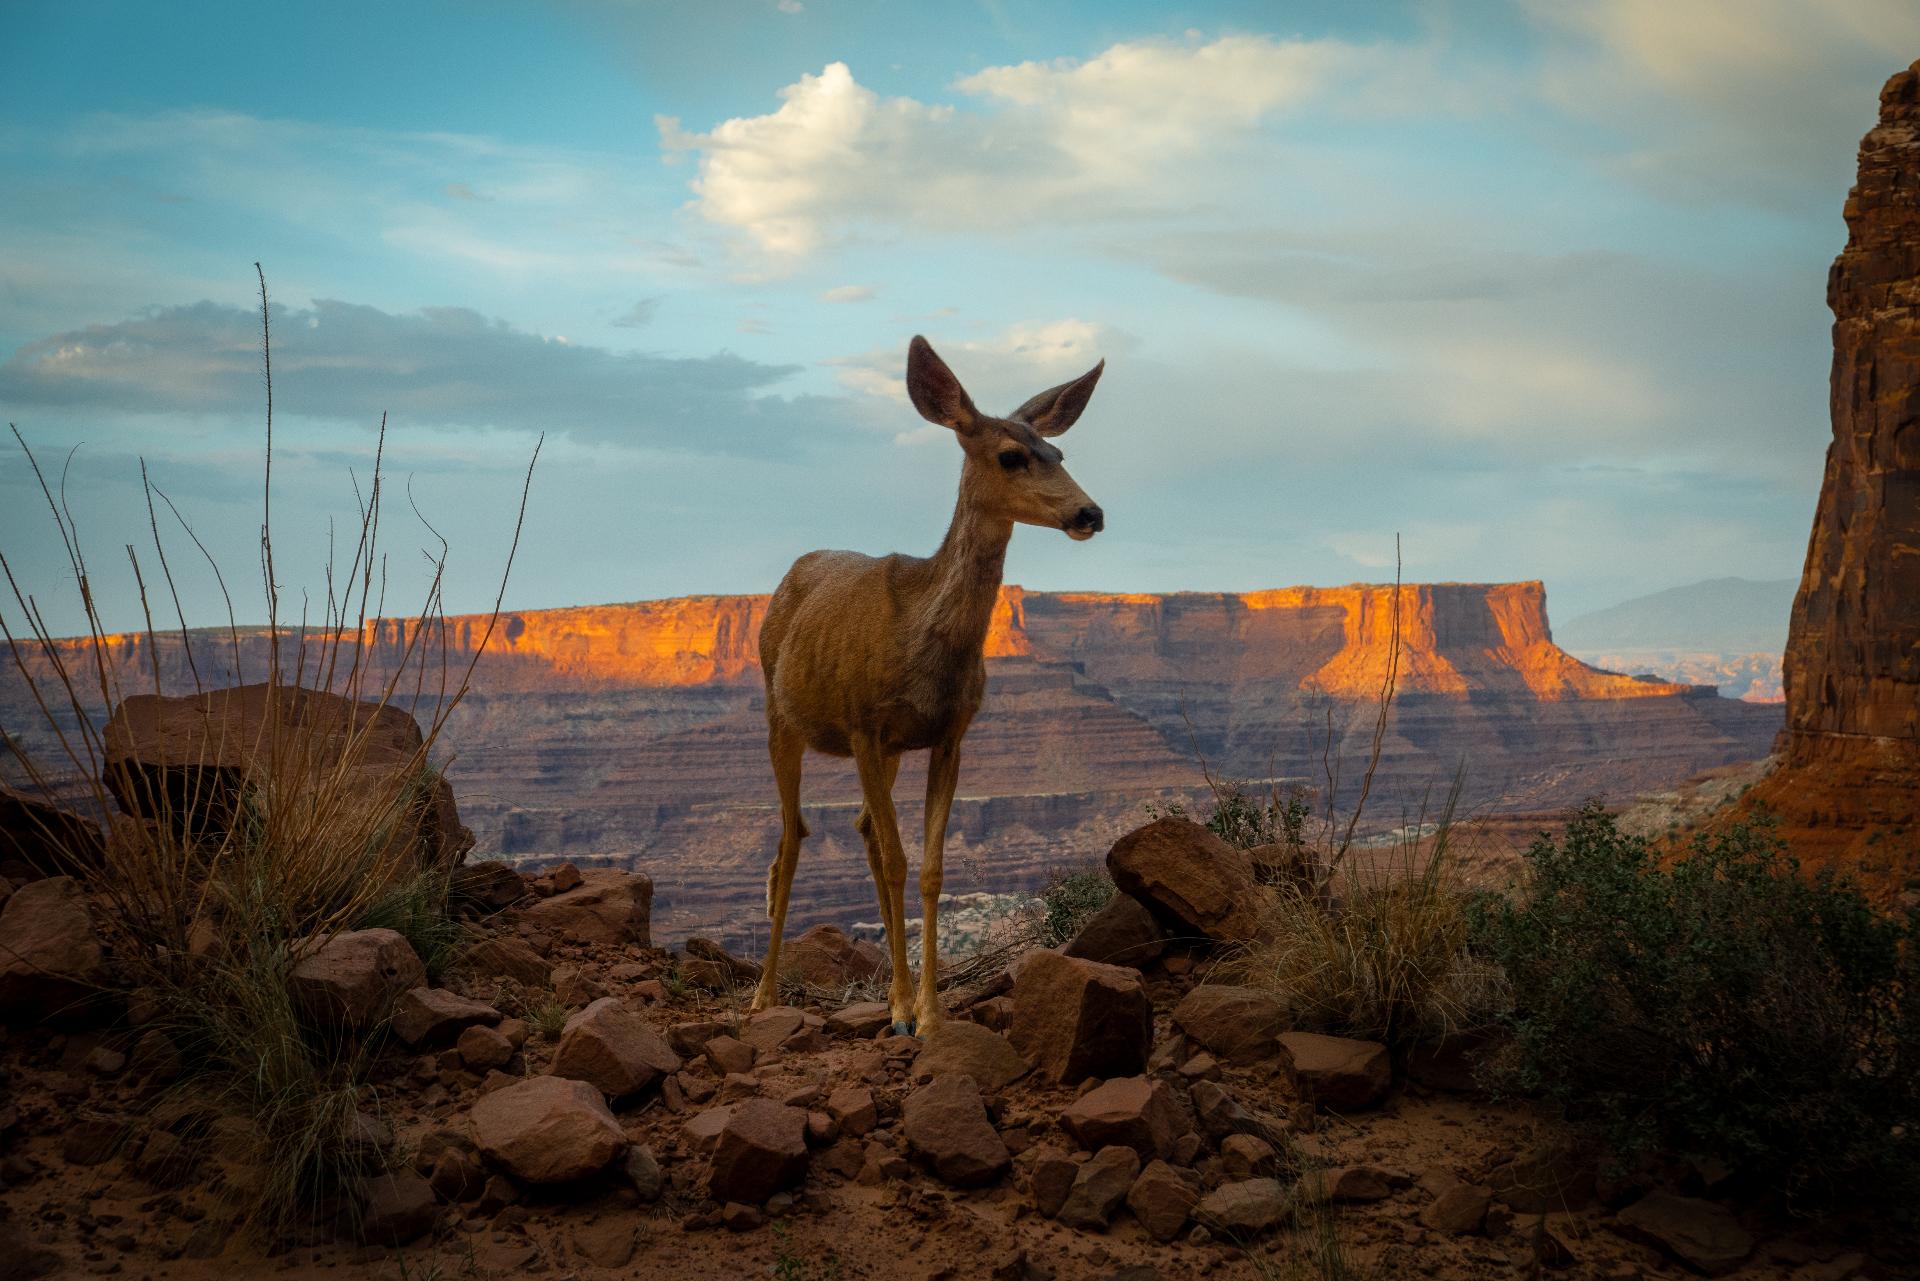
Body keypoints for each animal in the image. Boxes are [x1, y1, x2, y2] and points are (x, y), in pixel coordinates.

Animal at [748, 335, 1107, 1034]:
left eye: (1060, 453)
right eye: (1011, 455)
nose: (1091, 512)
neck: (922, 639)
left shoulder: (948, 734)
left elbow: (931, 868)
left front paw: (930, 1014)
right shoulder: (862, 723)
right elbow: (896, 861)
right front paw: (902, 1011)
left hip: (882, 750)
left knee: (860, 826)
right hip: (782, 717)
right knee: (791, 842)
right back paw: (764, 995)